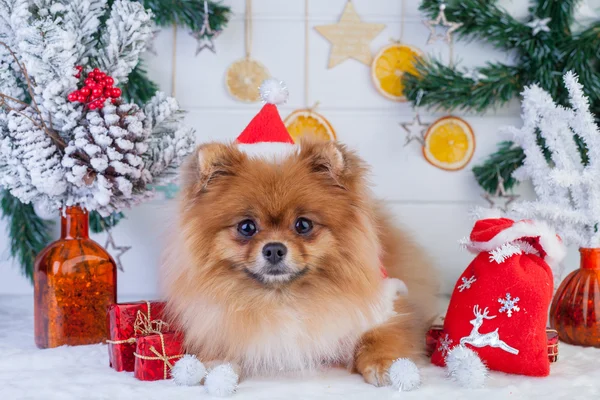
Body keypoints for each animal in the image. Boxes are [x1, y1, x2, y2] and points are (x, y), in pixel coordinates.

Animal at [162, 139, 438, 386]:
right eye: (247, 227)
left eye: (303, 225)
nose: (274, 249)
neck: (283, 297)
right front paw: (217, 366)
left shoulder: (385, 307)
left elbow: (386, 334)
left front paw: (385, 364)